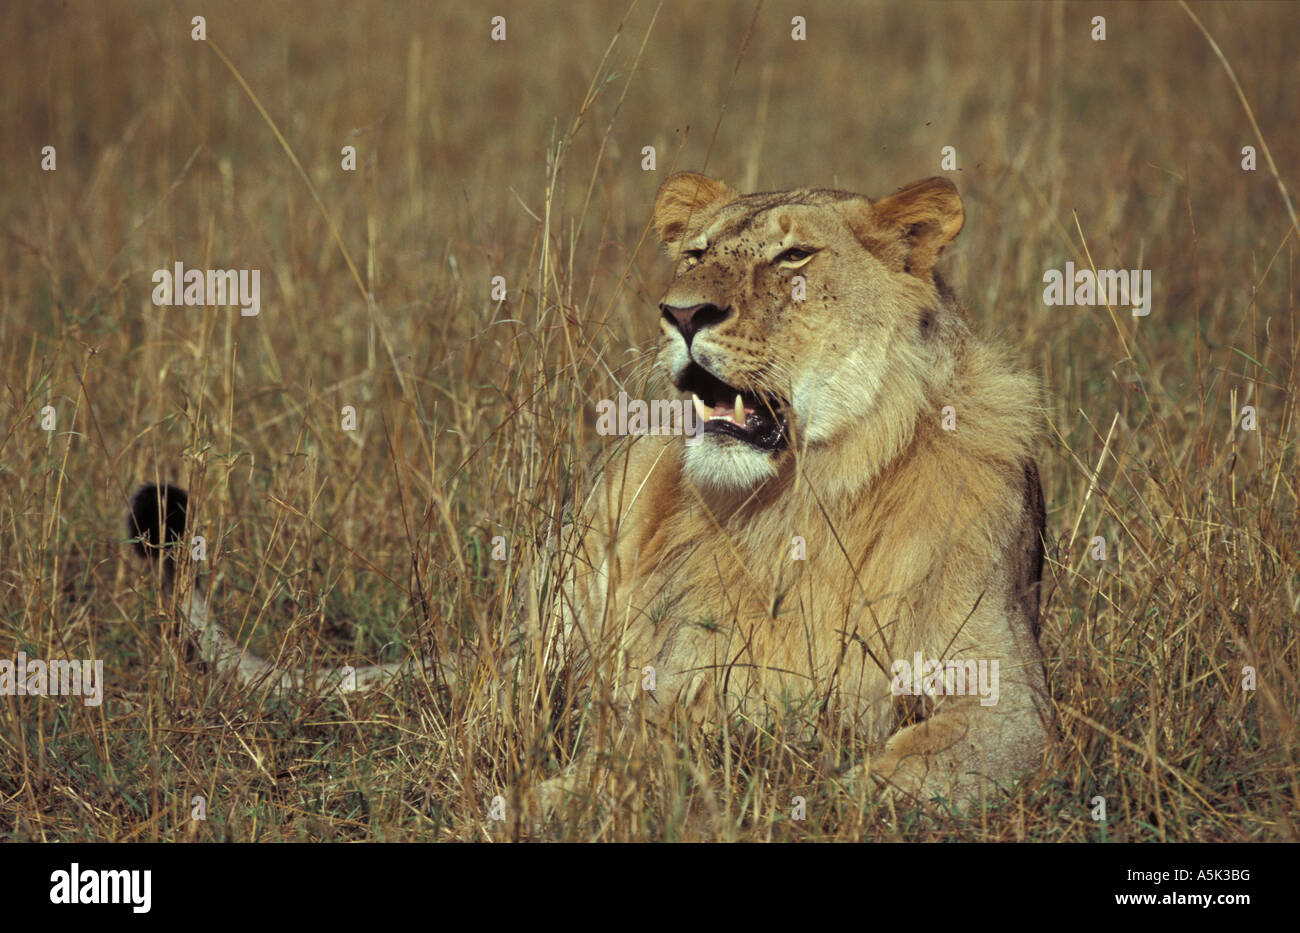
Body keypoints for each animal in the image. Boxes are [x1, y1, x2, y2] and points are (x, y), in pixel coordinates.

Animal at [127, 171, 1050, 816]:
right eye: (694, 253)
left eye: (793, 258)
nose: (681, 313)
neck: (803, 499)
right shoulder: (679, 687)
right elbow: (634, 754)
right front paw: (551, 802)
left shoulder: (1010, 703)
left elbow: (904, 766)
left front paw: (818, 799)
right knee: (491, 706)